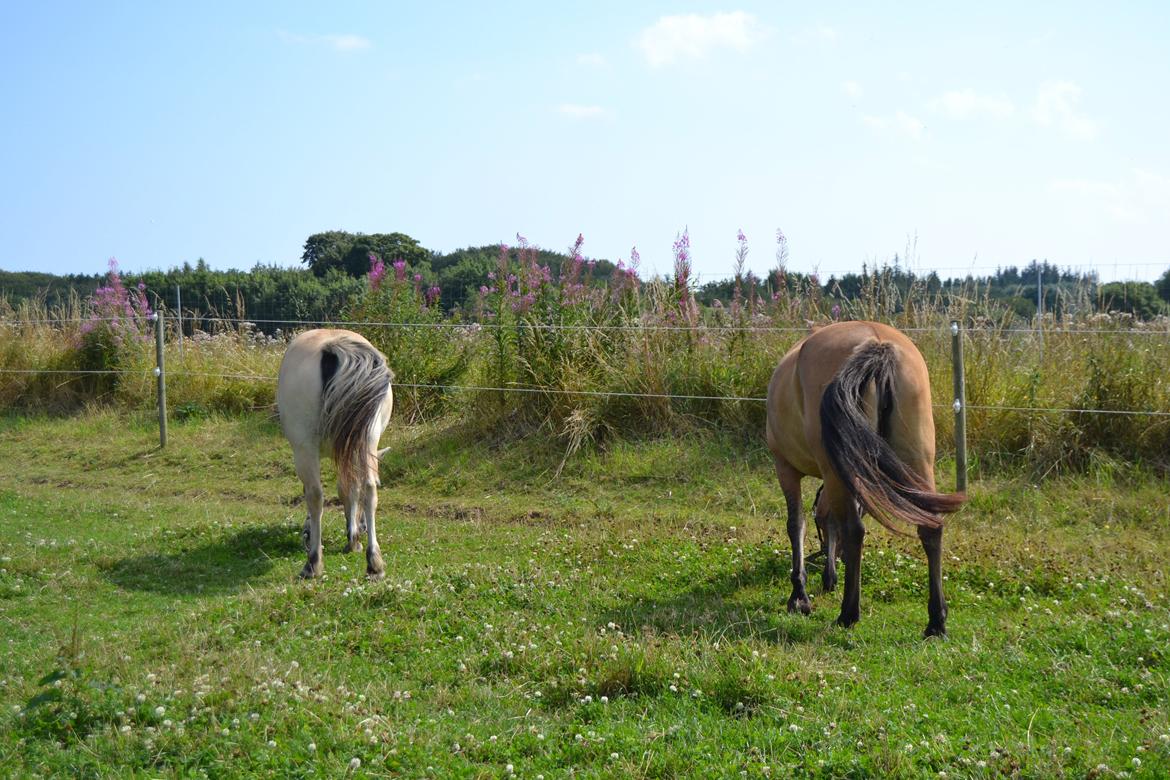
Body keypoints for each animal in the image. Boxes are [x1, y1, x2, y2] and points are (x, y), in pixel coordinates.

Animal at [276, 329, 395, 580]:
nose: (362, 527)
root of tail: (334, 347)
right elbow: (351, 489)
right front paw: (354, 538)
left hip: (305, 449)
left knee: (315, 495)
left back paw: (313, 562)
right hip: (368, 439)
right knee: (370, 488)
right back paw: (374, 562)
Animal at [762, 320, 964, 636]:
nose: (832, 561)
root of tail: (877, 344)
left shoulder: (785, 468)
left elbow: (797, 525)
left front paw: (799, 596)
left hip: (835, 469)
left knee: (854, 530)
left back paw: (848, 614)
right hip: (917, 462)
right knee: (931, 528)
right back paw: (936, 621)